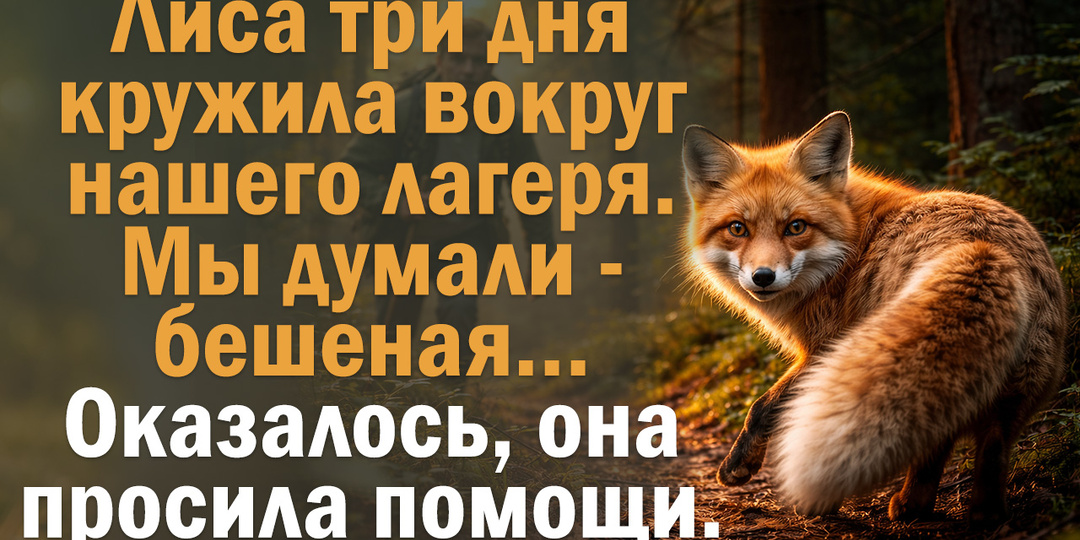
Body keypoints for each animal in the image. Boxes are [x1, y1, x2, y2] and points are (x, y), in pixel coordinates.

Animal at [680, 111, 1066, 521]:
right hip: (1009, 402)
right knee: (976, 459)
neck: (851, 245)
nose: (763, 277)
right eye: (738, 228)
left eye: (796, 227)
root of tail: (984, 249)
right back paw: (939, 510)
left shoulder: (825, 347)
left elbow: (762, 406)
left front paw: (739, 465)